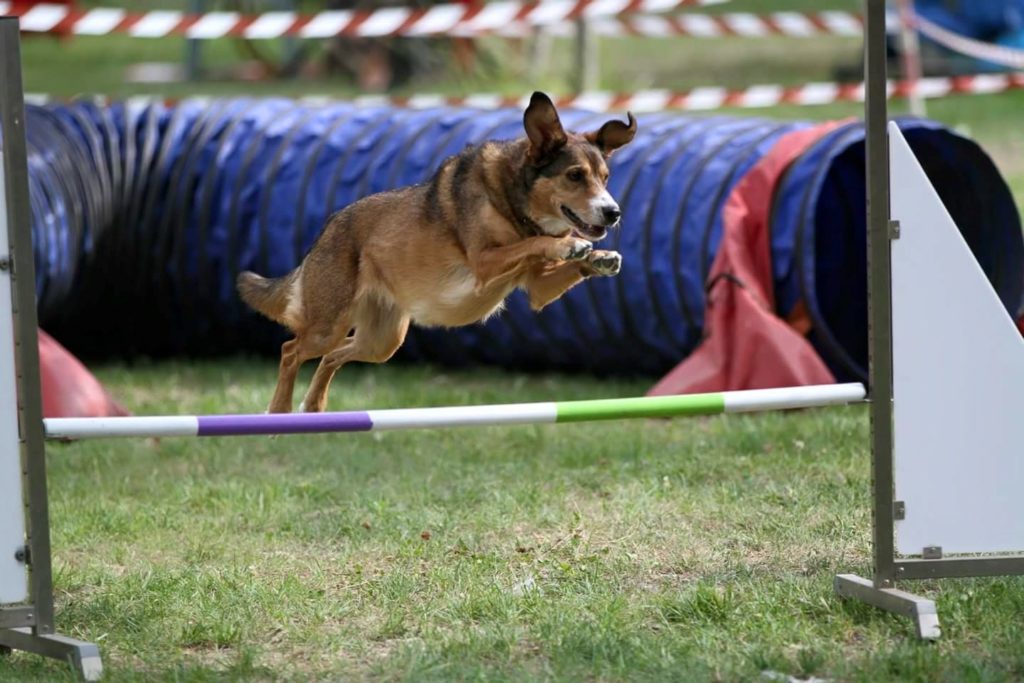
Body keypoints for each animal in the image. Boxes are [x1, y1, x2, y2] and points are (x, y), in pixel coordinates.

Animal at [240, 90, 638, 411]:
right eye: (575, 175)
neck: (515, 202)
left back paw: (314, 406)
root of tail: (326, 231)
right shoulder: (484, 263)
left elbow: (551, 265)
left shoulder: (537, 288)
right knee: (291, 351)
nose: (614, 212)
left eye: (605, 178)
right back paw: (279, 412)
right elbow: (536, 243)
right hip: (330, 323)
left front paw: (600, 259)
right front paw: (570, 245)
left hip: (382, 341)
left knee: (332, 358)